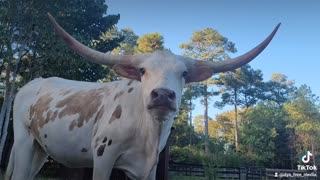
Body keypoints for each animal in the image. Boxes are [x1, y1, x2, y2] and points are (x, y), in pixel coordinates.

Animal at [5, 13, 280, 180]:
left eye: (183, 73)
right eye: (143, 71)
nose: (163, 95)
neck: (148, 132)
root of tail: (35, 82)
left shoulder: (149, 168)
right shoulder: (103, 156)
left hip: (40, 148)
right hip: (23, 139)